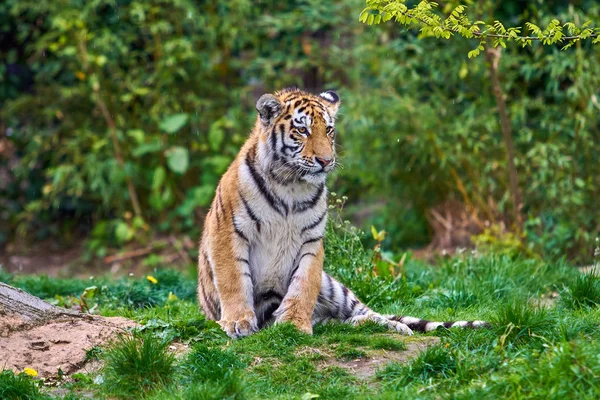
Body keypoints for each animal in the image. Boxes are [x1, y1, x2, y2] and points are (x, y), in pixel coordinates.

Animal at [197, 86, 488, 338]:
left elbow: (303, 285)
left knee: (366, 312)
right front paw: (238, 322)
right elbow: (234, 279)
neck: (290, 185)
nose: (326, 161)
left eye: (328, 130)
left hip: (335, 288)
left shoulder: (311, 240)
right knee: (342, 321)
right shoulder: (228, 232)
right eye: (302, 130)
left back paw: (395, 327)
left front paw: (293, 324)